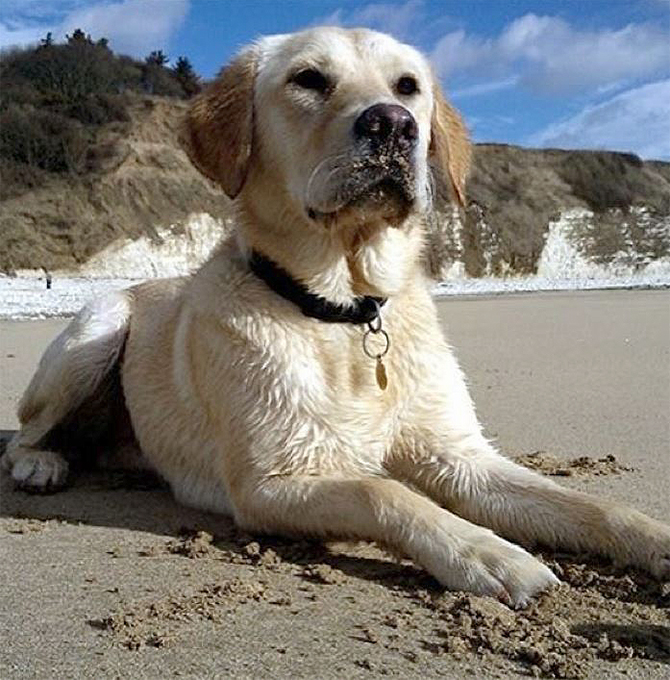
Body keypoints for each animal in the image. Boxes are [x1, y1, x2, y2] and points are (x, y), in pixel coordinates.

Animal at [3, 29, 668, 608]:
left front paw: (654, 538)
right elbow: (385, 491)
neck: (346, 311)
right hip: (99, 326)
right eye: (308, 79)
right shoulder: (271, 482)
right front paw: (487, 553)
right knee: (28, 433)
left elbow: (587, 504)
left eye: (408, 86)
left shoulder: (459, 457)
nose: (393, 124)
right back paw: (42, 462)